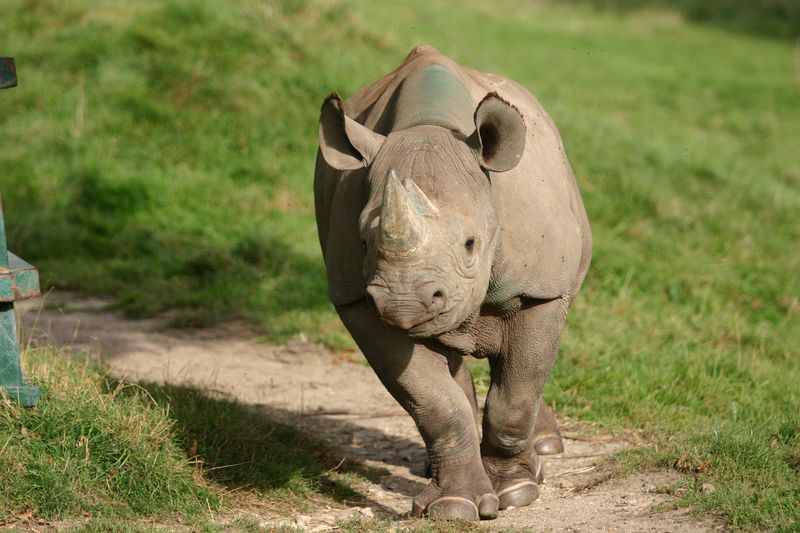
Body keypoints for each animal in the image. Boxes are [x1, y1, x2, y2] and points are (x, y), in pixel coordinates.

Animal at [314, 45, 591, 520]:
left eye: (470, 244)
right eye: (365, 242)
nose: (406, 303)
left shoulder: (542, 287)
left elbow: (515, 396)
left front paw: (518, 493)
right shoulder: (358, 299)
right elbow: (436, 403)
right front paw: (455, 507)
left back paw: (544, 451)